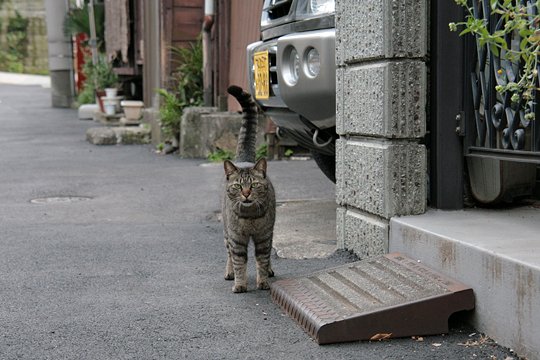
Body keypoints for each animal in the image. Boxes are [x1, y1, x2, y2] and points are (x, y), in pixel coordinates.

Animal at [221, 86, 276, 294]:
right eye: (238, 186)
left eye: (253, 185)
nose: (245, 194)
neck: (250, 217)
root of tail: (243, 160)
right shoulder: (236, 238)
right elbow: (239, 262)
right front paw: (240, 284)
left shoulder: (264, 236)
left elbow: (262, 259)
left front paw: (263, 282)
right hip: (226, 231)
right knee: (228, 253)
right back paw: (229, 272)